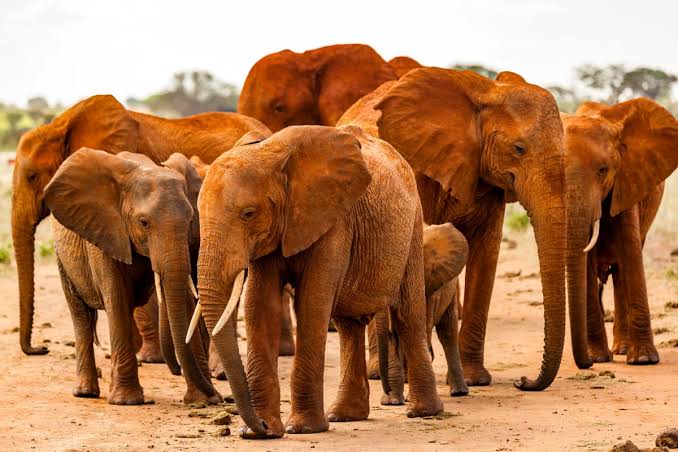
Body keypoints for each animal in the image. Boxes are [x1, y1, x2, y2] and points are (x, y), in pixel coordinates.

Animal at [42, 148, 220, 405]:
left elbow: (185, 299)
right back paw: (86, 392)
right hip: (63, 258)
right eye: (143, 223)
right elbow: (116, 297)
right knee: (81, 315)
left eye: (189, 221)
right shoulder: (105, 229)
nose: (217, 398)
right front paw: (126, 402)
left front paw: (203, 400)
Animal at [191, 124, 443, 438]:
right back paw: (345, 416)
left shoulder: (333, 221)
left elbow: (312, 303)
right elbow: (260, 306)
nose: (260, 426)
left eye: (248, 214)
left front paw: (302, 429)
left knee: (408, 314)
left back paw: (423, 412)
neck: (271, 155)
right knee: (349, 325)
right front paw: (259, 433)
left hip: (413, 226)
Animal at [372, 222, 469, 404]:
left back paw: (459, 392)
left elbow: (422, 325)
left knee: (448, 331)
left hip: (450, 288)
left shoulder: (430, 283)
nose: (386, 392)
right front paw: (392, 402)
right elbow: (395, 335)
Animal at [563, 98, 678, 368]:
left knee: (621, 271)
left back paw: (624, 350)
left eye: (603, 170)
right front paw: (598, 358)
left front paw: (644, 359)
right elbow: (586, 261)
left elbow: (631, 253)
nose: (586, 363)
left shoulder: (627, 182)